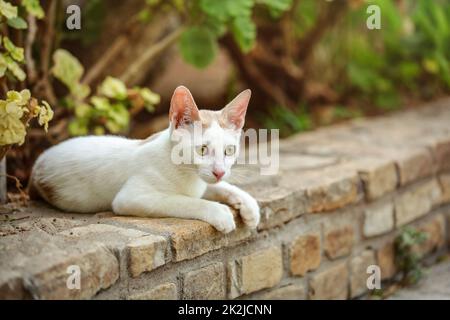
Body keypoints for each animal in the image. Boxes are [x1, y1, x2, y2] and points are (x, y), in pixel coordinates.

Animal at [29, 86, 260, 234]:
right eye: (202, 149)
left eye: (229, 150)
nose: (219, 171)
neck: (186, 173)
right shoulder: (130, 198)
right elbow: (183, 200)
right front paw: (218, 211)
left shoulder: (204, 180)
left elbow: (218, 187)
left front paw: (248, 204)